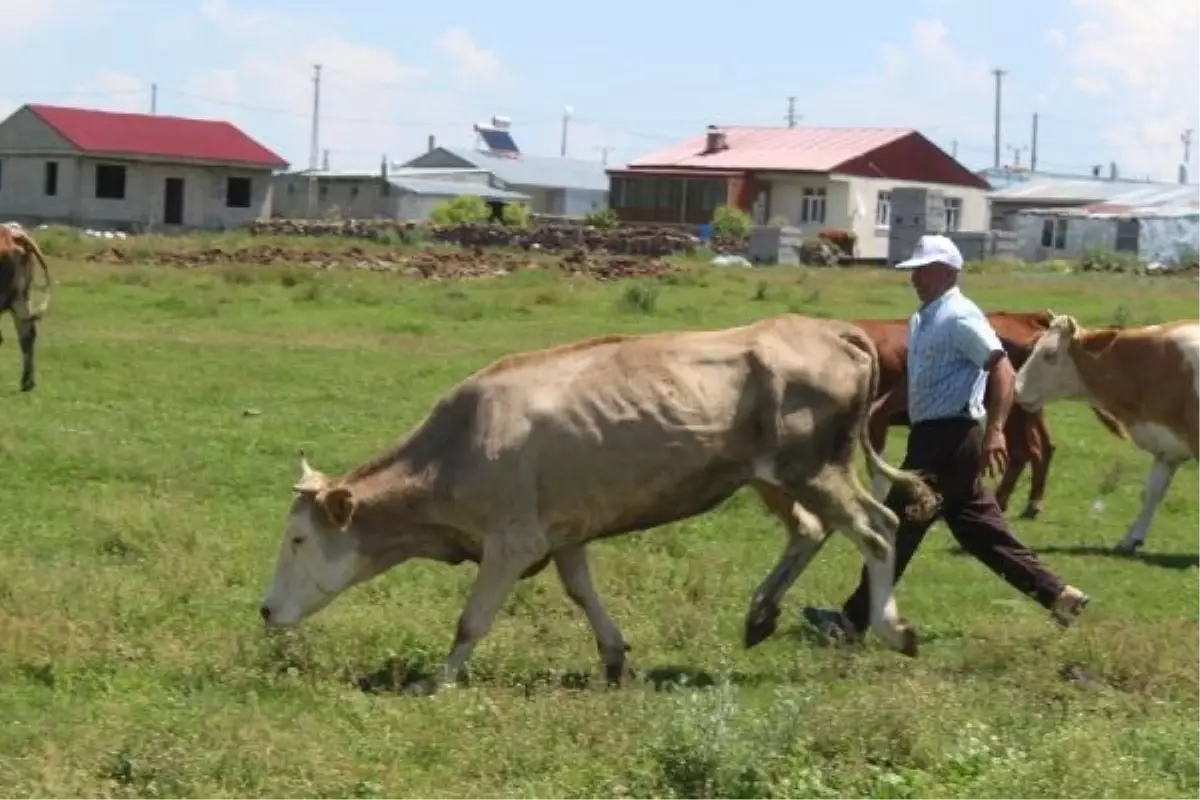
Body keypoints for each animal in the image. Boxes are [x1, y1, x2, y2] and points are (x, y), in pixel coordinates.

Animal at [258, 314, 940, 695]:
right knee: (809, 530)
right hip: (773, 476)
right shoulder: (564, 534)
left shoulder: (513, 541)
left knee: (877, 527)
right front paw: (613, 658)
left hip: (814, 467)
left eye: (297, 539)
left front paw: (439, 680)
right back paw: (760, 614)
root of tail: (830, 329)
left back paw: (893, 628)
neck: (453, 452)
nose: (265, 610)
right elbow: (582, 593)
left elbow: (471, 620)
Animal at [859, 307, 1118, 520]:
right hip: (1029, 409)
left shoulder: (875, 421)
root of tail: (1026, 317)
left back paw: (1006, 501)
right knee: (1042, 448)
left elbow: (876, 465)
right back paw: (1029, 503)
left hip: (1014, 415)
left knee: (1023, 452)